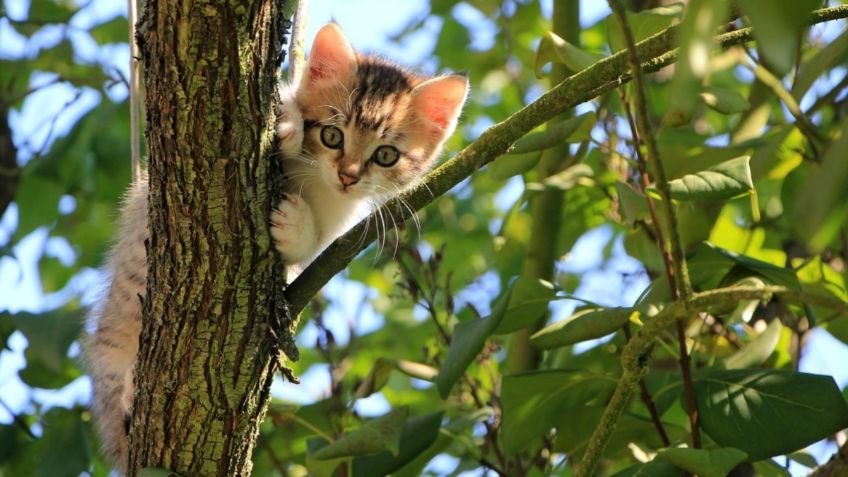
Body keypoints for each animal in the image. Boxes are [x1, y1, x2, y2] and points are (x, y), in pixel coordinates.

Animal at [83, 23, 468, 472]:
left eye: (386, 155)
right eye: (332, 135)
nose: (349, 176)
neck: (316, 182)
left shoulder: (338, 223)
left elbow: (311, 247)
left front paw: (295, 226)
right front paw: (287, 124)